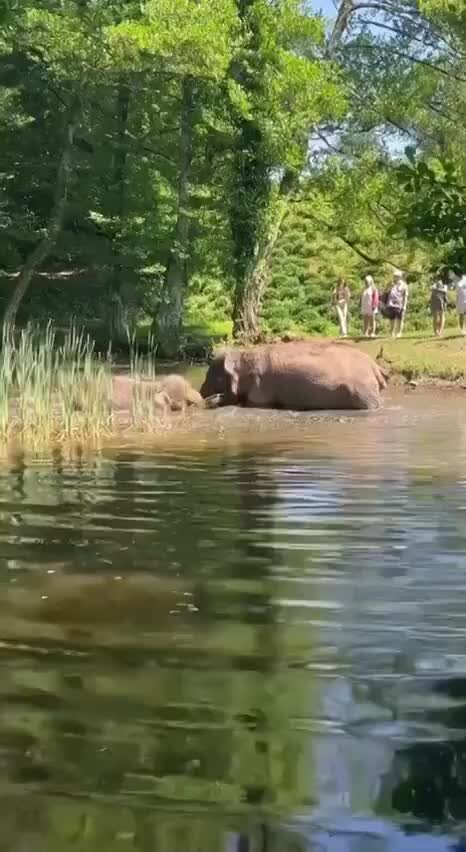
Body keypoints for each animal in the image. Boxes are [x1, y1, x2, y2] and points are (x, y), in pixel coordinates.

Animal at [200, 342, 390, 412]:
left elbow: (253, 403)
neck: (245, 354)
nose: (202, 393)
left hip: (362, 390)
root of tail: (375, 366)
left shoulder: (260, 386)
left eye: (213, 377)